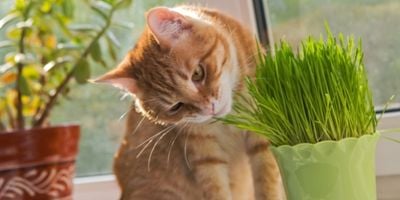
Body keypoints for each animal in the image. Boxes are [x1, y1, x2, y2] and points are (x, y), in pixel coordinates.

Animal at [95, 5, 282, 199]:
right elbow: (216, 189)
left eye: (198, 73)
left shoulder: (263, 131)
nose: (209, 109)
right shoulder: (204, 155)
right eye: (176, 106)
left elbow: (267, 180)